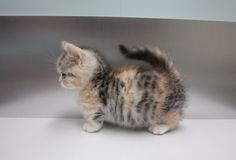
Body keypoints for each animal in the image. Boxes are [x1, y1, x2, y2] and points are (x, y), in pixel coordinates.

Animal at [56, 40, 185, 134]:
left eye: (64, 75)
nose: (59, 81)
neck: (95, 79)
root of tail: (169, 74)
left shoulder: (94, 108)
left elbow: (94, 119)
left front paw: (90, 127)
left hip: (166, 109)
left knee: (176, 119)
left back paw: (160, 127)